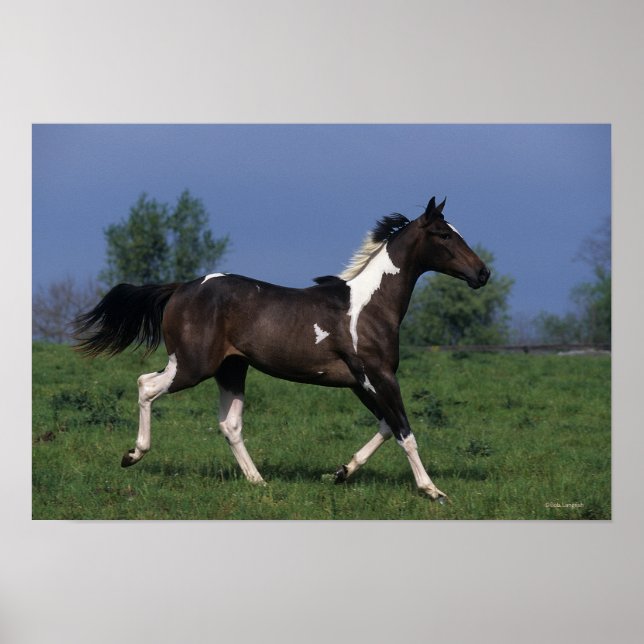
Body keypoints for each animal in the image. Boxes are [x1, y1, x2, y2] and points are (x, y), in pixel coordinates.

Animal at [73, 196, 490, 501]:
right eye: (444, 235)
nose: (482, 274)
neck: (369, 306)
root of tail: (180, 288)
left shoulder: (360, 382)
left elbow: (387, 426)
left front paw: (341, 472)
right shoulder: (378, 376)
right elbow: (405, 431)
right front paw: (433, 490)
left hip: (231, 369)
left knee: (229, 424)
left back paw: (258, 481)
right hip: (192, 366)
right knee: (146, 385)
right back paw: (132, 455)